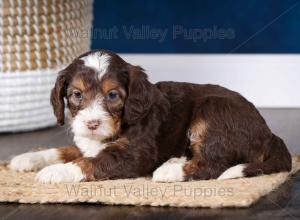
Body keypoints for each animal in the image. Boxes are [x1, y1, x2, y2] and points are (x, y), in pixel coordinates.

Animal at [8, 50, 290, 184]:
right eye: (76, 94)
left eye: (112, 95)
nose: (92, 123)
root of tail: (269, 133)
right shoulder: (87, 142)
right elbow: (67, 150)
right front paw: (28, 158)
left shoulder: (135, 154)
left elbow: (92, 161)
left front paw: (55, 172)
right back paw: (176, 160)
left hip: (213, 110)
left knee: (213, 164)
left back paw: (169, 171)